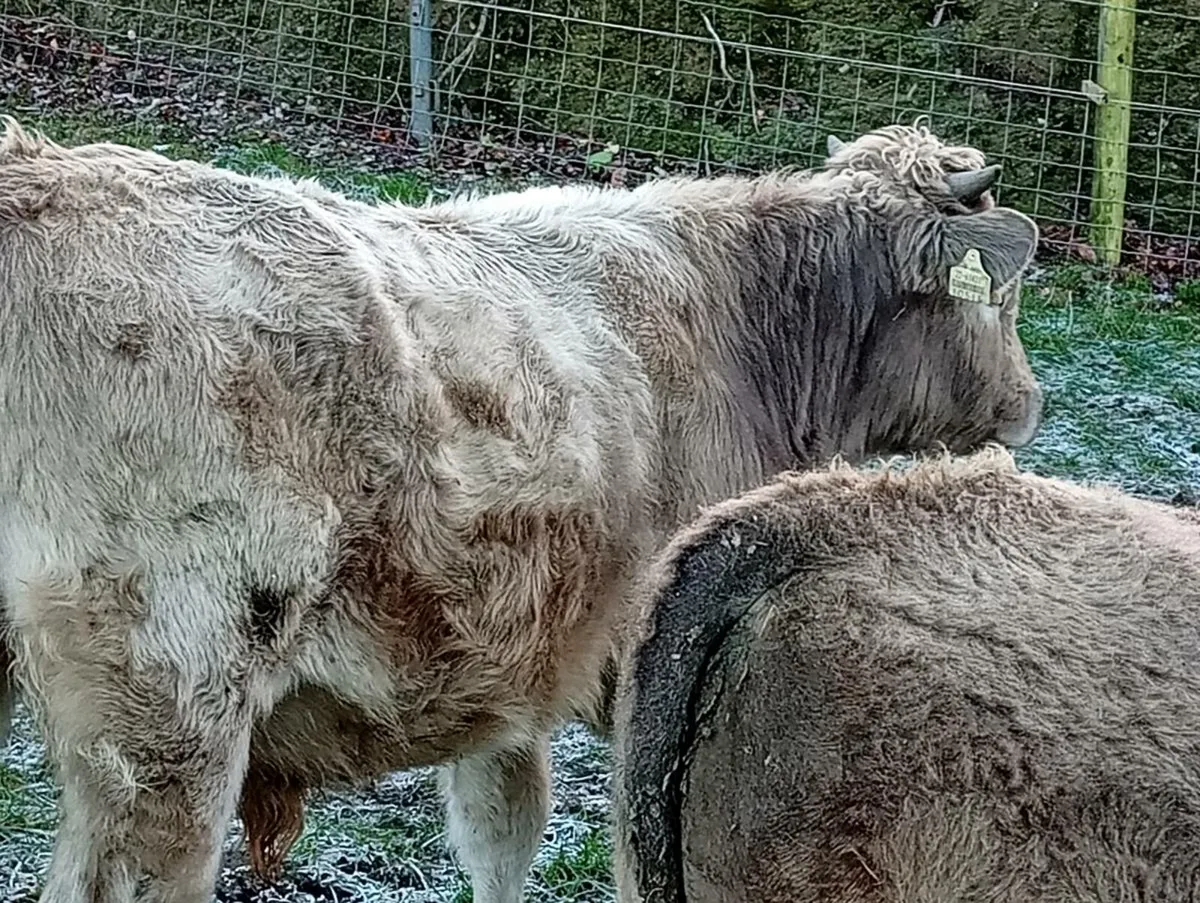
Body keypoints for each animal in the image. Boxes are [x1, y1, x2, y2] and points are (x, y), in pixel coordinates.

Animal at [0, 116, 1043, 903]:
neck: (747, 335)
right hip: (168, 715)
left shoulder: (514, 665)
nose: (1028, 403)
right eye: (1000, 299)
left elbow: (502, 832)